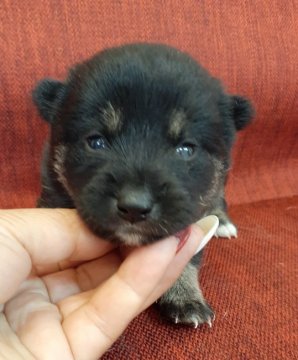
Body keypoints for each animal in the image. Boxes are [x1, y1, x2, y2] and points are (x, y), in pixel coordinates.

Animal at [32, 43, 253, 328]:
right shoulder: (51, 189)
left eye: (186, 149)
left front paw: (185, 296)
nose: (134, 207)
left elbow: (186, 256)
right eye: (96, 142)